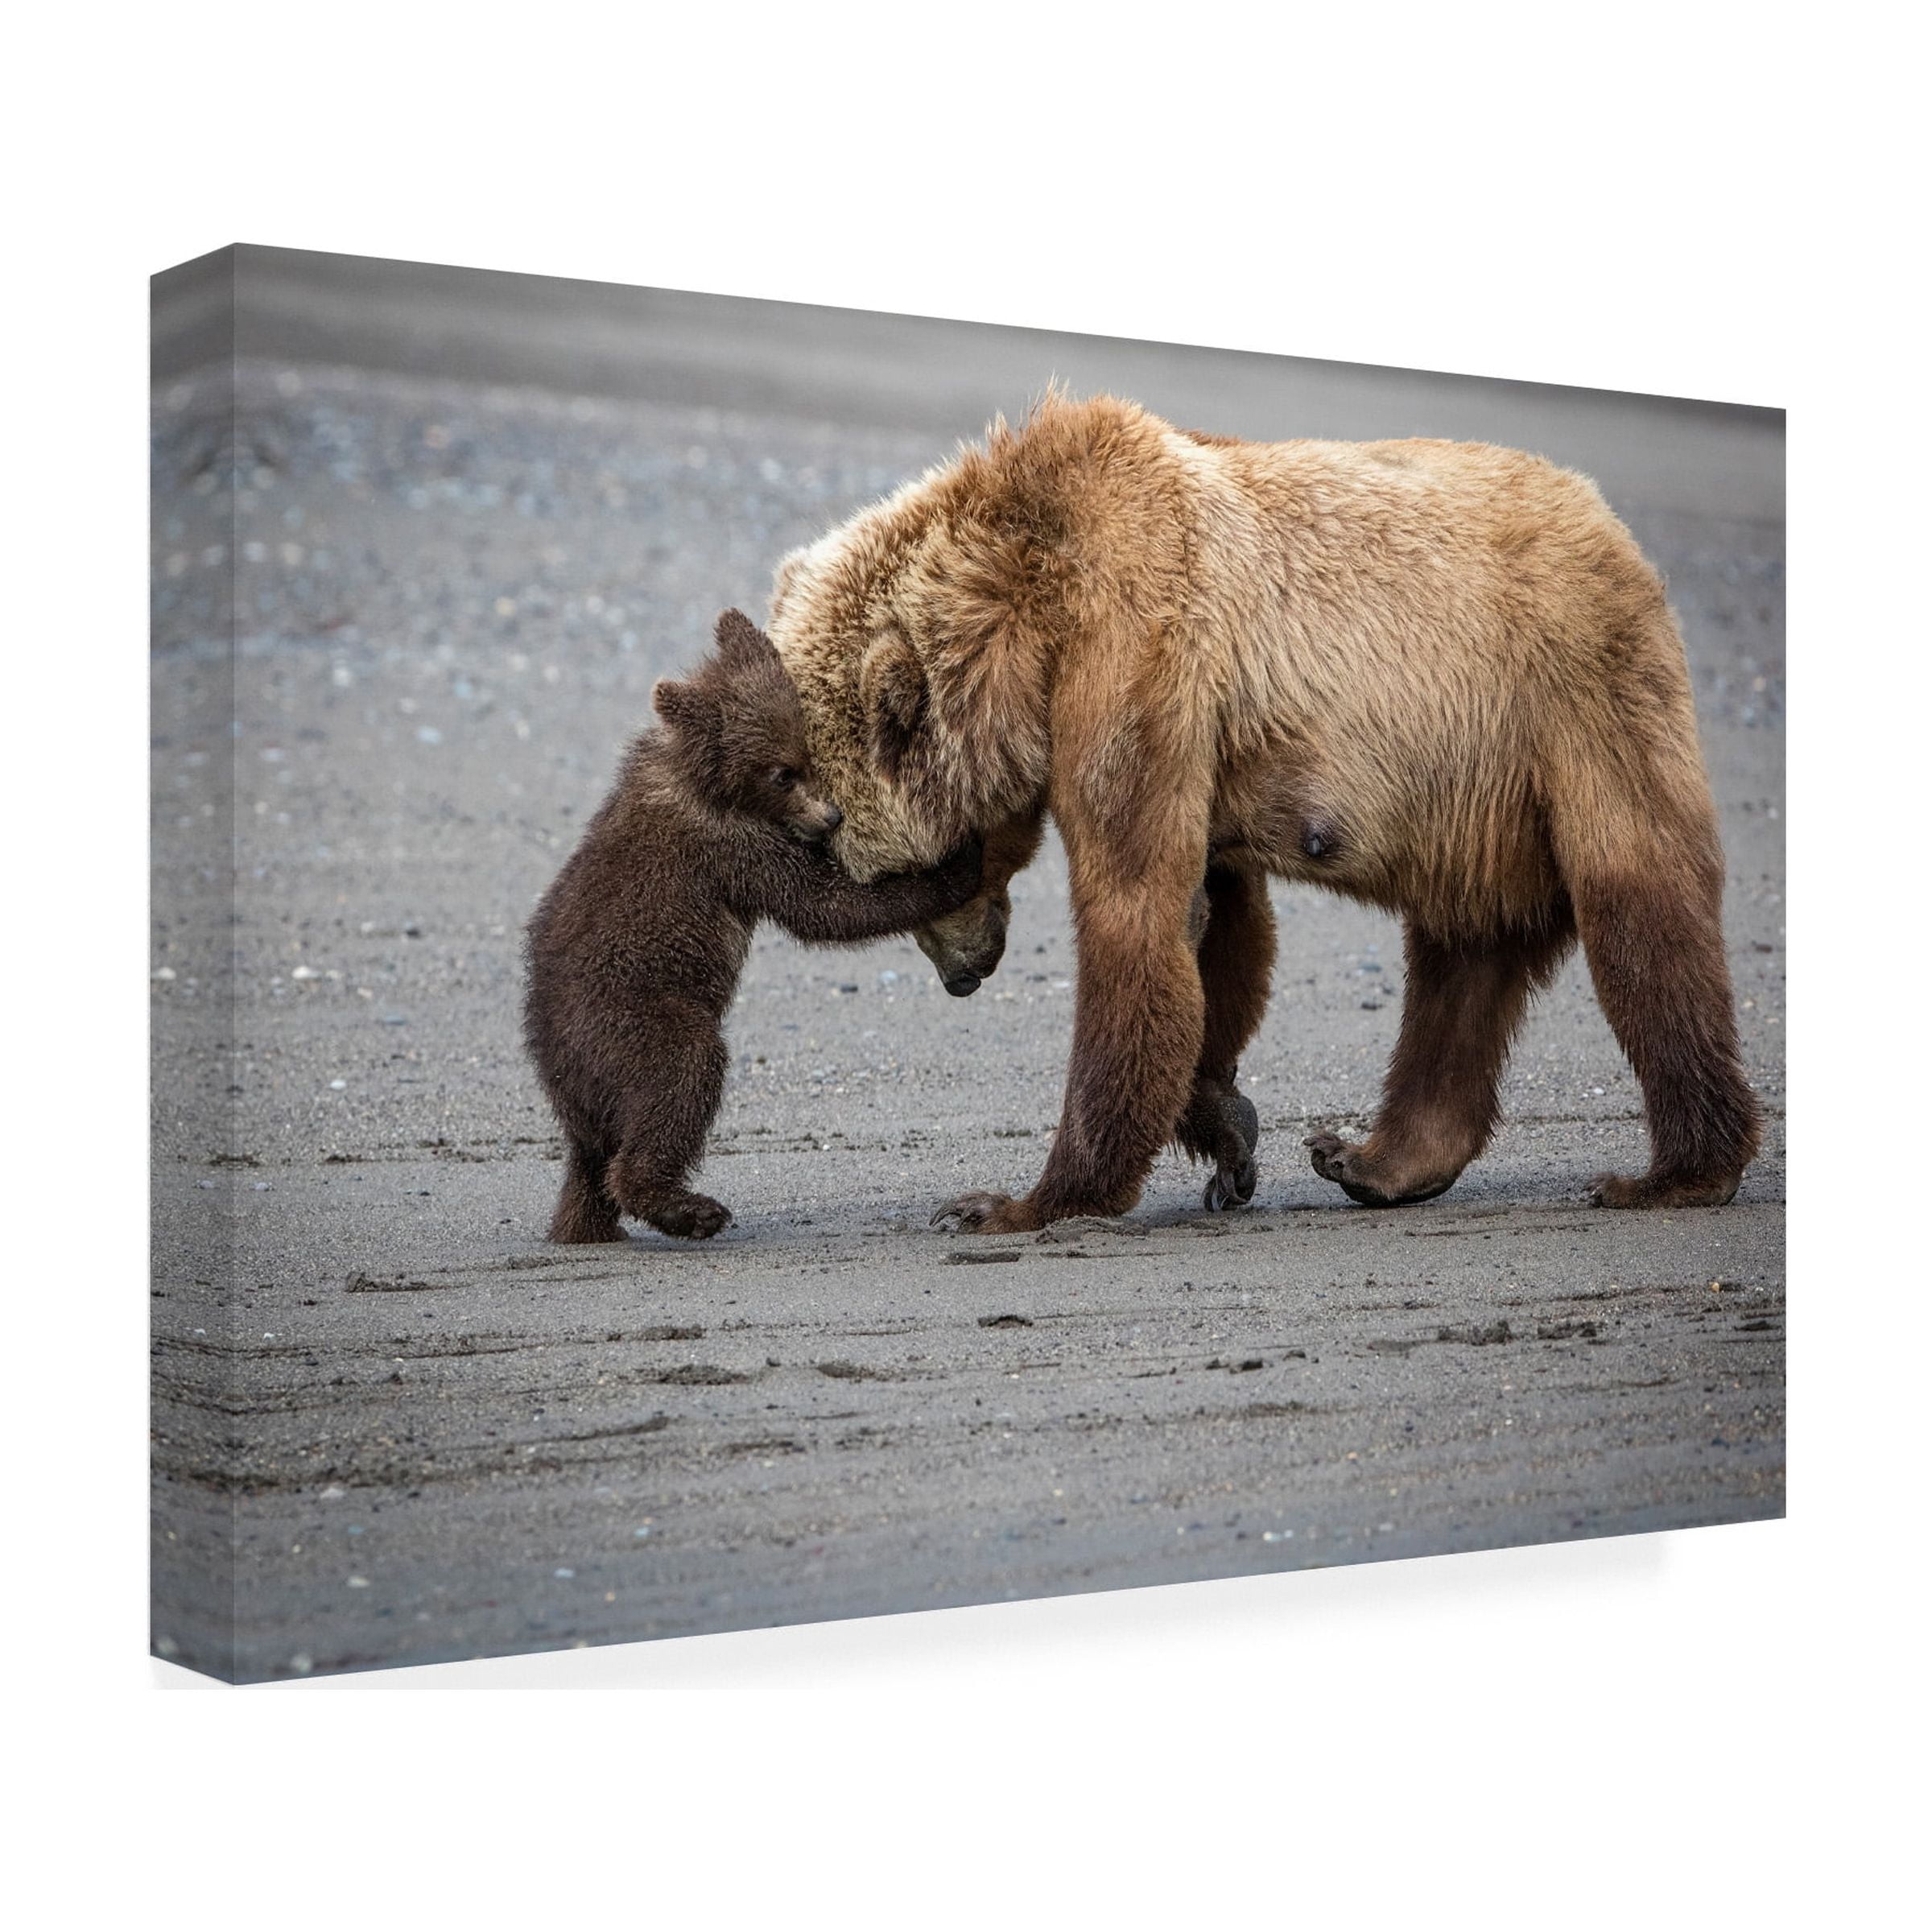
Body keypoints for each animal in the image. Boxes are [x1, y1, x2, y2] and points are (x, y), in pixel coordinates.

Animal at [523, 609, 983, 1243]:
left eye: (806, 755)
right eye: (780, 774)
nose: (831, 816)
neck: (704, 780)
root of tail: (556, 1072)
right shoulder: (730, 847)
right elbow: (824, 906)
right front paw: (958, 862)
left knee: (592, 1165)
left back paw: (587, 1225)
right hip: (628, 1019)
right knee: (682, 1075)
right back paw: (690, 1207)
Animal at [764, 391, 1759, 1233]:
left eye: (902, 872)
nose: (963, 977)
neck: (1027, 612)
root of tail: (1609, 521)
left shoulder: (1137, 646)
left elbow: (1136, 911)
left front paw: (1018, 1201)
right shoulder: (1195, 728)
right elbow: (1218, 927)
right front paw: (1225, 1128)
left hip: (1570, 692)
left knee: (1640, 904)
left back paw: (1676, 1171)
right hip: (1476, 797)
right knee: (1463, 957)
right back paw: (1375, 1159)